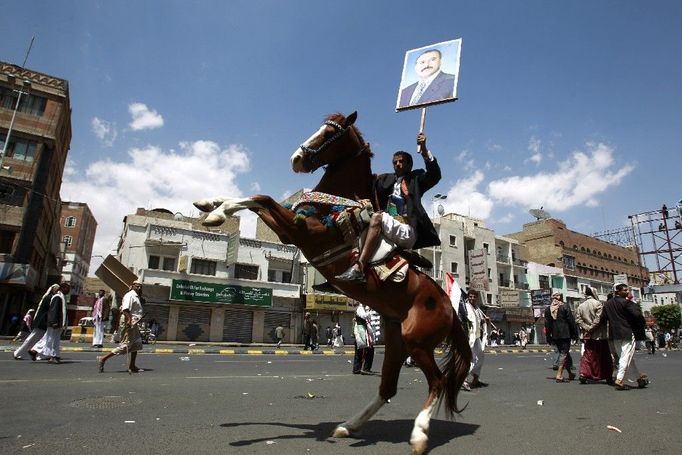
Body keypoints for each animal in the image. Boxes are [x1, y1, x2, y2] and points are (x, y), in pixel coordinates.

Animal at [191, 111, 468, 455]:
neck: (337, 203)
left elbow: (261, 197)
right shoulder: (290, 231)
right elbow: (258, 199)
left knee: (437, 382)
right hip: (397, 340)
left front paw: (217, 214)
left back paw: (418, 435)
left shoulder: (302, 231)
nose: (296, 159)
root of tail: (451, 310)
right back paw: (349, 426)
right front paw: (210, 204)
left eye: (328, 134)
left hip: (417, 342)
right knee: (387, 387)